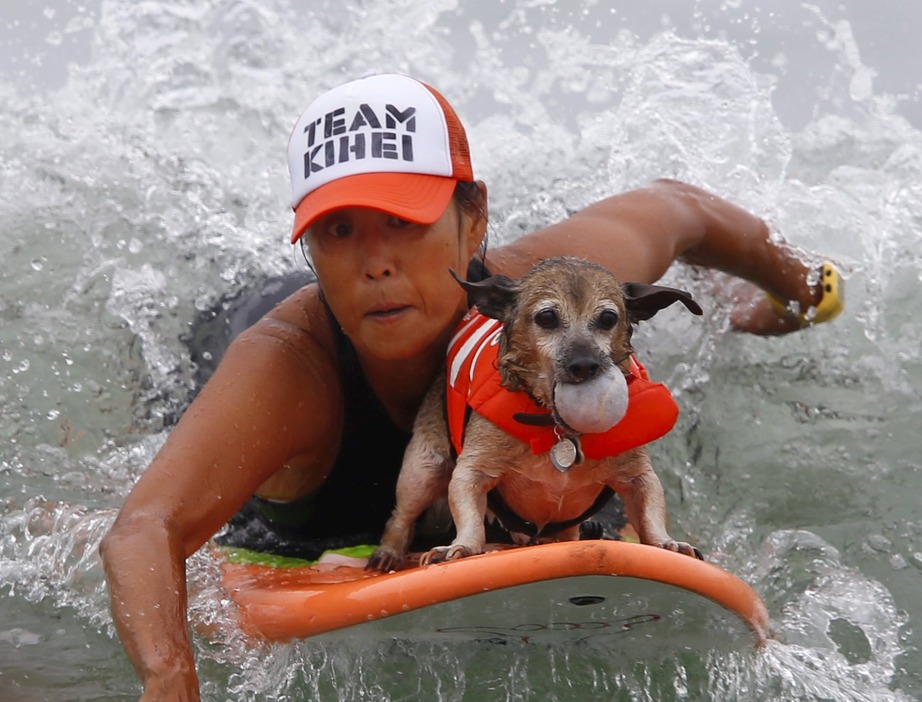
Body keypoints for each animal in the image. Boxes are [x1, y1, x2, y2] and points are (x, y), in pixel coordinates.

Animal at [366, 256, 704, 576]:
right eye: (547, 317)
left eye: (608, 318)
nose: (584, 364)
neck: (558, 431)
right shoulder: (472, 470)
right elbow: (468, 509)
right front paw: (462, 545)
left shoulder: (638, 476)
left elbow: (650, 508)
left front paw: (667, 542)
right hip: (423, 469)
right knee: (402, 516)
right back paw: (389, 552)